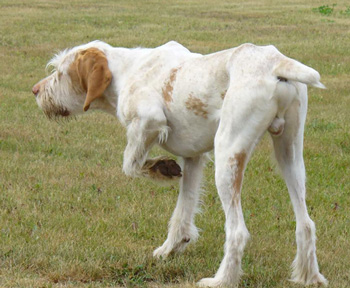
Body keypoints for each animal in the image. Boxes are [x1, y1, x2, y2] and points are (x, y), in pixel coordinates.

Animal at [32, 41, 328, 288]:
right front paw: (171, 247)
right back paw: (308, 277)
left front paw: (162, 168)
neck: (125, 70)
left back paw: (221, 280)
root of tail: (275, 61)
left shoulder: (149, 120)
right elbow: (183, 210)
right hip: (289, 155)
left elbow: (131, 164)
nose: (35, 90)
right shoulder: (194, 158)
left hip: (228, 153)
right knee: (305, 224)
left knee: (238, 231)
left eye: (60, 73)